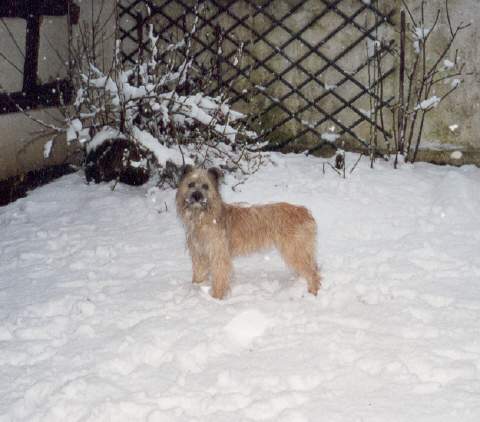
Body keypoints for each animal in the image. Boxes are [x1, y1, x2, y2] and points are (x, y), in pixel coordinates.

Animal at [174, 166, 320, 300]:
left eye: (205, 186)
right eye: (190, 184)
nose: (196, 196)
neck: (202, 217)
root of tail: (304, 211)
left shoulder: (218, 255)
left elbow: (219, 277)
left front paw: (216, 298)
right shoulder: (199, 254)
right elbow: (199, 273)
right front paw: (196, 287)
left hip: (294, 249)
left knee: (312, 273)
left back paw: (312, 293)